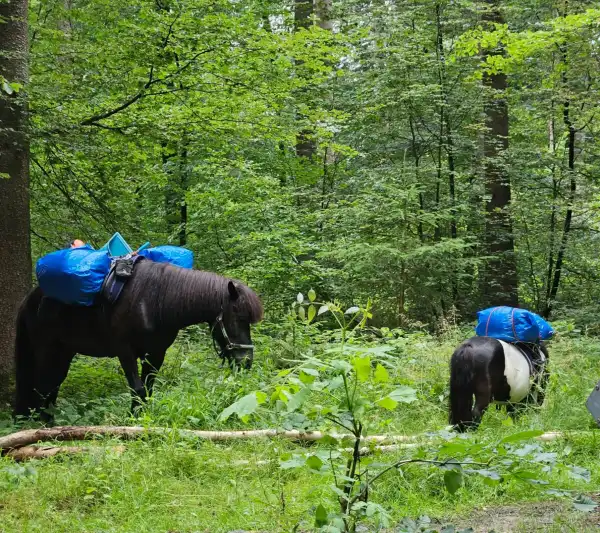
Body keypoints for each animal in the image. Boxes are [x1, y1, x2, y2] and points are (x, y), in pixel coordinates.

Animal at [13, 260, 262, 422]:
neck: (155, 300)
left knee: (52, 385)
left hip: (64, 352)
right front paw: (132, 421)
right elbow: (138, 389)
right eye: (240, 318)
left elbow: (148, 390)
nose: (247, 361)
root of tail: (29, 299)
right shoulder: (126, 351)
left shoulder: (156, 353)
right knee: (42, 385)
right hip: (46, 349)